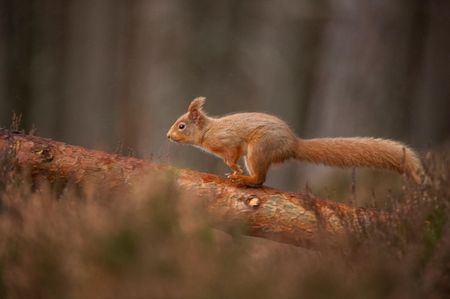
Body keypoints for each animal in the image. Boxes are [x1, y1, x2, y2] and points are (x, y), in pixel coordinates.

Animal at [167, 97, 424, 186]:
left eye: (182, 126)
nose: (168, 136)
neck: (208, 131)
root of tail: (294, 144)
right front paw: (233, 169)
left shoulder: (228, 142)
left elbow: (231, 155)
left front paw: (234, 169)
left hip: (259, 149)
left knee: (260, 179)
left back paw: (244, 178)